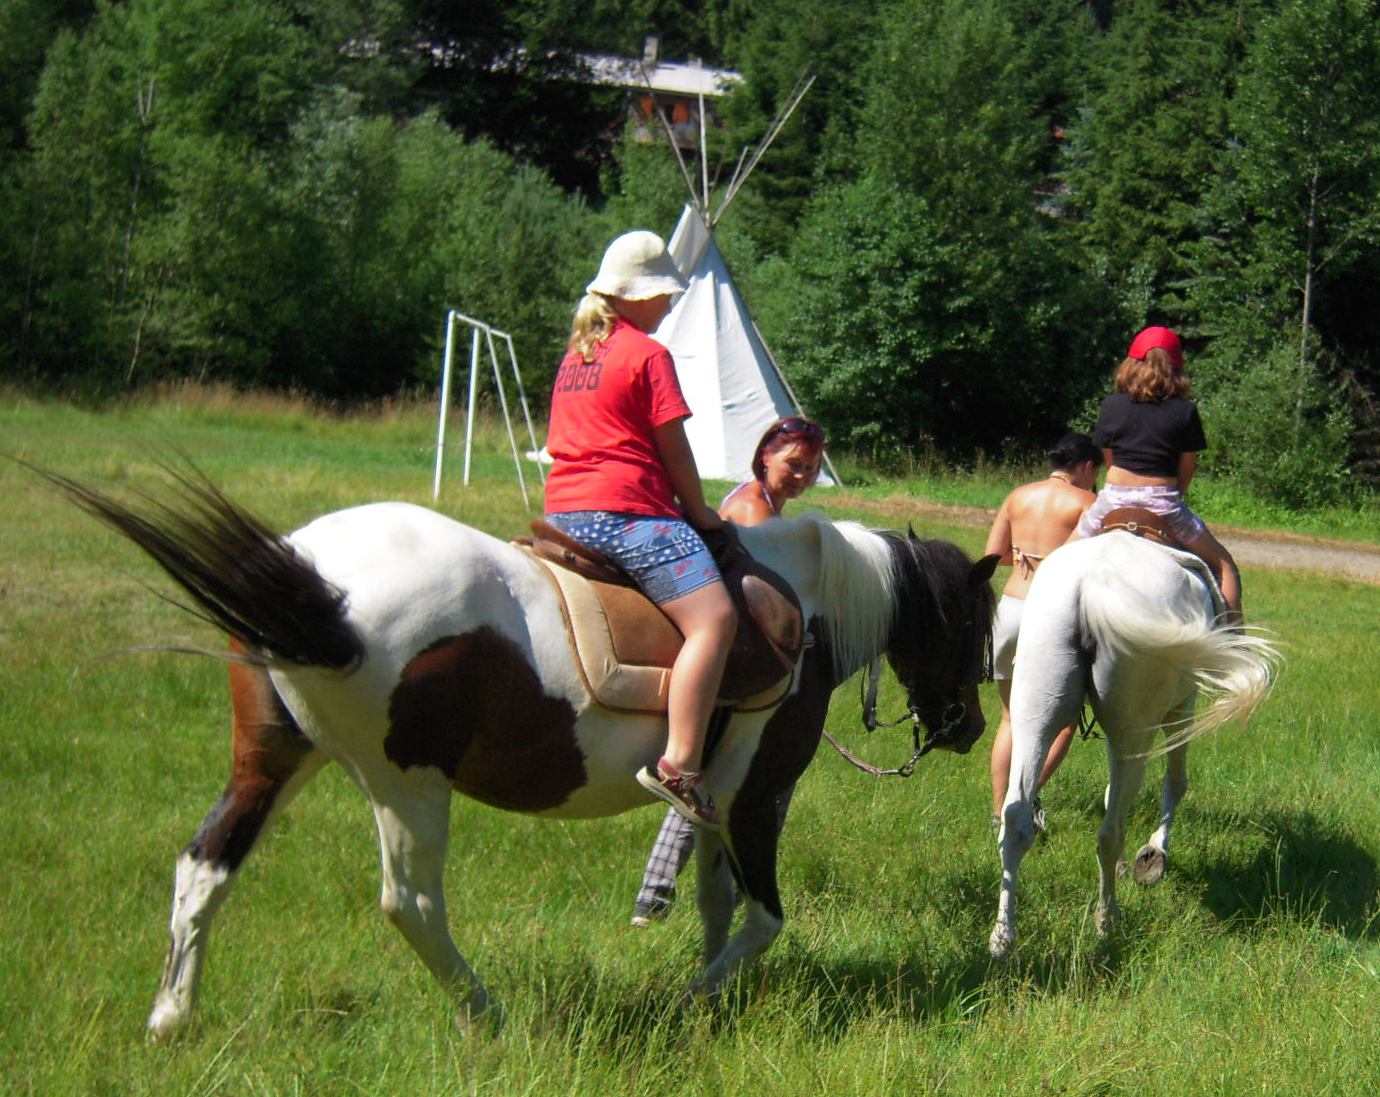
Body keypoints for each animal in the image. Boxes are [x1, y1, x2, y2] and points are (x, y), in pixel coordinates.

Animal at [44, 466, 996, 1036]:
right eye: (974, 622)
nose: (968, 729)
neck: (807, 603)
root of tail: (314, 575)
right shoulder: (756, 797)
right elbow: (761, 915)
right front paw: (693, 997)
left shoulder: (714, 801)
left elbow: (715, 900)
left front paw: (712, 992)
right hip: (406, 785)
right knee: (411, 905)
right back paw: (484, 1013)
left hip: (272, 763)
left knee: (204, 868)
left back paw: (172, 1019)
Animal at [988, 531, 1280, 959]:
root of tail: (1093, 585)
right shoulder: (1182, 709)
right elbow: (1174, 783)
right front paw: (1154, 855)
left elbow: (1114, 793)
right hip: (1136, 731)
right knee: (1110, 832)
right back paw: (1107, 923)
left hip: (1033, 712)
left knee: (1016, 821)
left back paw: (1002, 937)